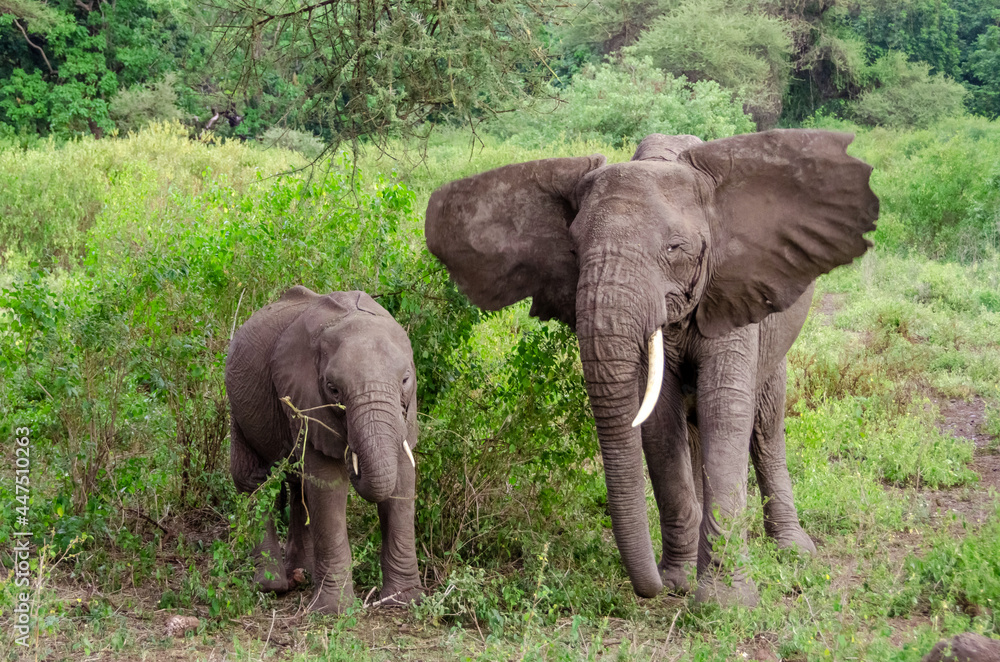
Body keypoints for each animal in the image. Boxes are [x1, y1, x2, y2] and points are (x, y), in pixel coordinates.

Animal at [227, 288, 422, 616]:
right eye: (333, 389)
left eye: (406, 380)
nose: (353, 456)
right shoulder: (306, 398)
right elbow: (328, 485)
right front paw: (334, 611)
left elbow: (403, 480)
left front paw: (404, 600)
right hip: (237, 406)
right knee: (254, 481)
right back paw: (271, 586)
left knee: (298, 485)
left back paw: (301, 574)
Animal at [426, 128, 880, 608]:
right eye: (574, 250)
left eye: (675, 249)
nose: (653, 588)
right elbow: (660, 422)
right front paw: (678, 583)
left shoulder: (732, 289)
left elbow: (725, 412)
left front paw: (724, 605)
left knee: (766, 423)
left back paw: (793, 551)